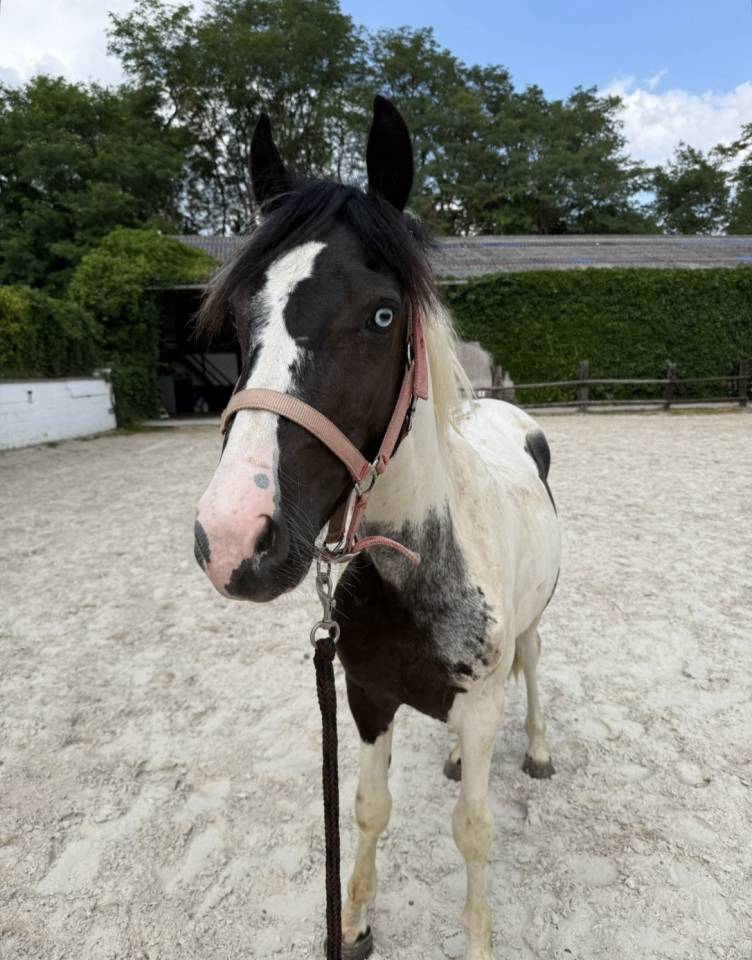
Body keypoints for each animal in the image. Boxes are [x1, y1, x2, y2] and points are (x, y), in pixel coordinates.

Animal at [194, 96, 561, 960]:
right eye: (239, 314)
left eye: (382, 314)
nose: (232, 538)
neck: (418, 566)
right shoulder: (364, 694)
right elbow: (367, 809)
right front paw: (355, 920)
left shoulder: (482, 700)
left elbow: (474, 832)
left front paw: (477, 941)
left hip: (532, 629)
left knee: (533, 669)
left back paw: (535, 751)